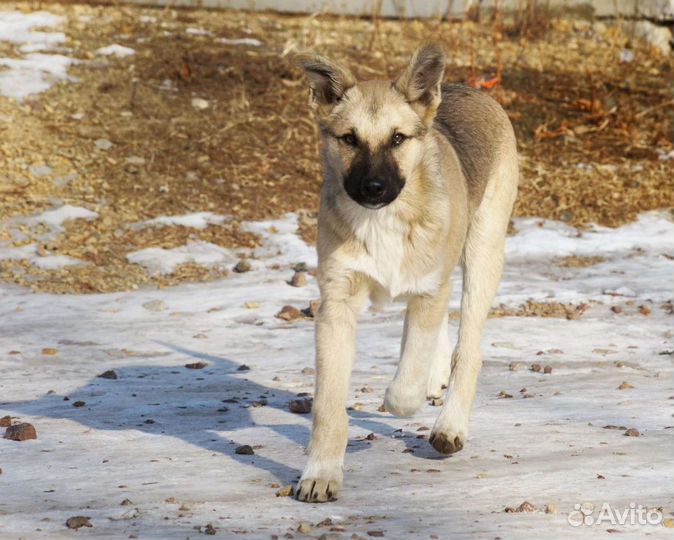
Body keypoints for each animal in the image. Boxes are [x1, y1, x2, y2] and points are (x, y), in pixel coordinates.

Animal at [292, 42, 516, 502]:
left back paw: (450, 425)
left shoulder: (428, 289)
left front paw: (402, 398)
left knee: (468, 348)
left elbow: (406, 383)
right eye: (349, 138)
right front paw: (321, 473)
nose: (374, 189)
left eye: (397, 138)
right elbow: (328, 405)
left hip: (483, 252)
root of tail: (466, 87)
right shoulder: (336, 305)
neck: (383, 221)